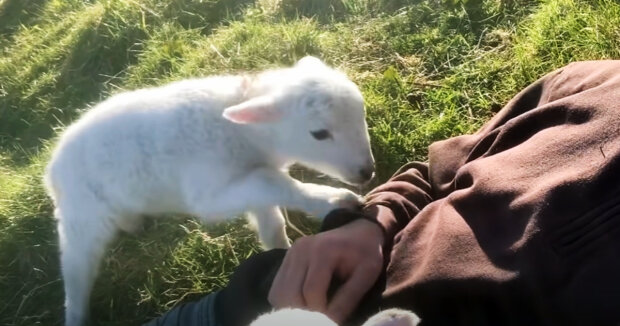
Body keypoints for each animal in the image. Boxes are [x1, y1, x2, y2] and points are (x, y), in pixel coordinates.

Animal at [43, 56, 376, 326]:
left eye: (361, 112)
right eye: (319, 134)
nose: (367, 171)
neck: (246, 135)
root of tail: (52, 169)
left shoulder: (248, 180)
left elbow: (270, 213)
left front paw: (281, 250)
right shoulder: (210, 192)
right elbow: (270, 183)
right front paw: (333, 200)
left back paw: (132, 222)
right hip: (82, 217)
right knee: (75, 269)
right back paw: (76, 314)